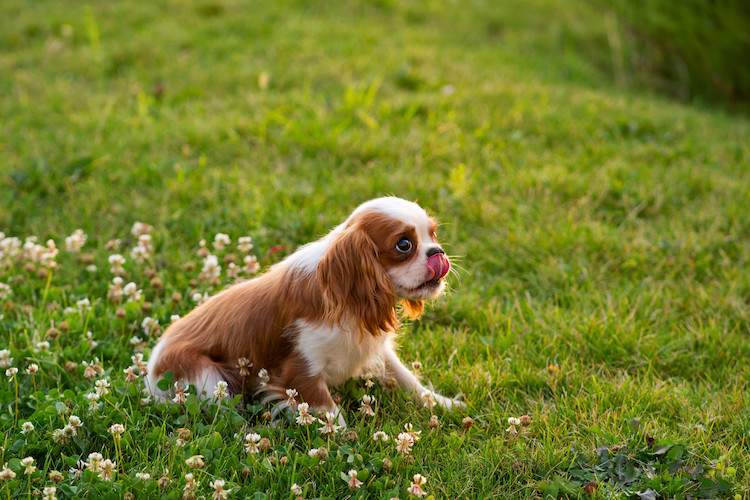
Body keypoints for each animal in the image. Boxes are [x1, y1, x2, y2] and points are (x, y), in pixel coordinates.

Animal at [146, 197, 464, 420]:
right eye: (404, 245)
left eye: (434, 235)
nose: (438, 253)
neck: (348, 301)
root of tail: (149, 371)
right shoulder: (300, 368)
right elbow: (330, 413)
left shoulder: (375, 348)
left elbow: (406, 377)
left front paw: (442, 403)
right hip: (206, 376)